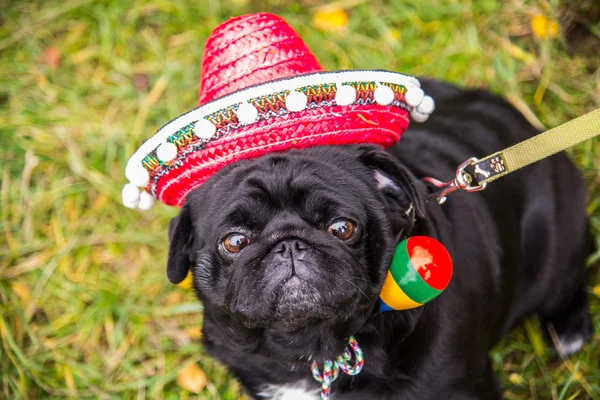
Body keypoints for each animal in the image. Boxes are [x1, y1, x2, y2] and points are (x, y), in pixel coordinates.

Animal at [166, 79, 592, 398]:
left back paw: (571, 332)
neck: (311, 346)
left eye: (342, 228)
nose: (288, 243)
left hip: (557, 251)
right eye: (235, 242)